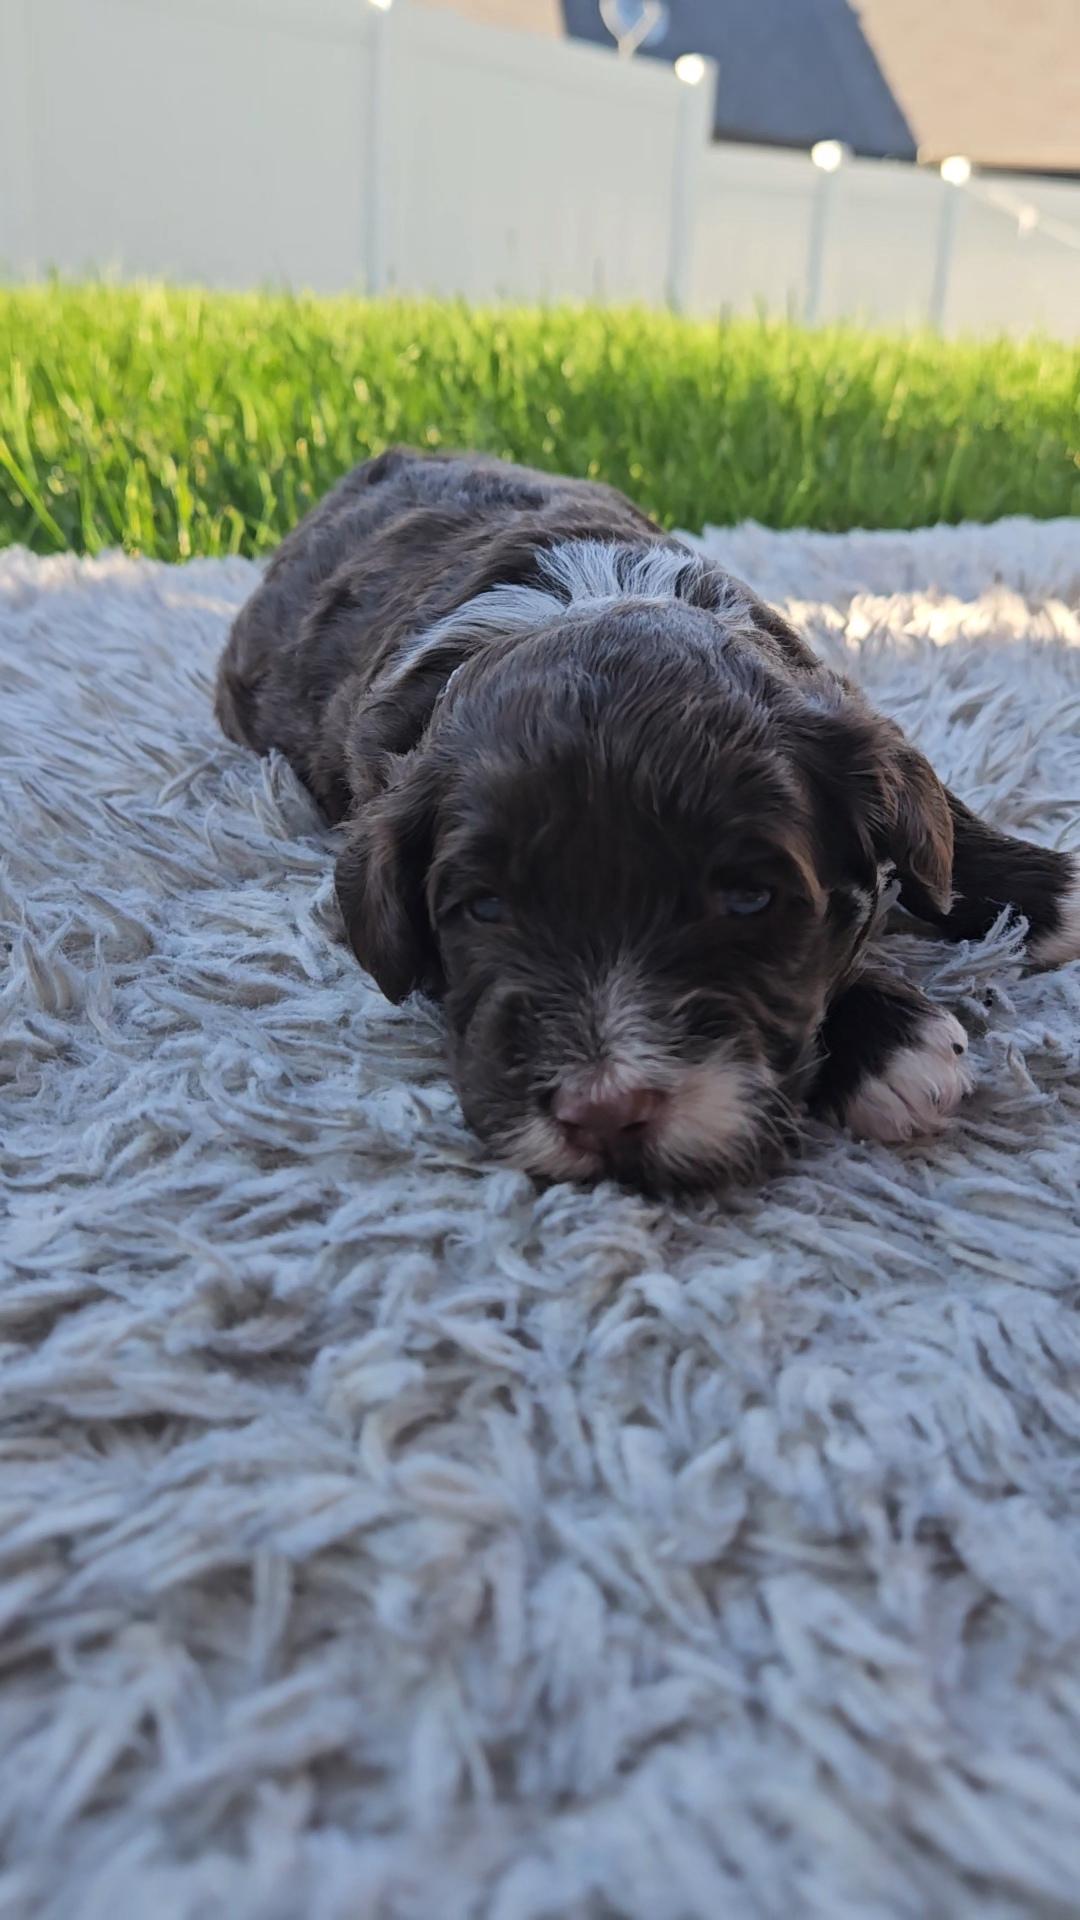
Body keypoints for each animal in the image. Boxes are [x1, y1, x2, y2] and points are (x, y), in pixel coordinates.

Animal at [216, 448, 1079, 1192]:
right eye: (483, 908)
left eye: (750, 899)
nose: (605, 1110)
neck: (590, 595)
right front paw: (890, 1043)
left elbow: (931, 813)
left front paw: (1048, 893)